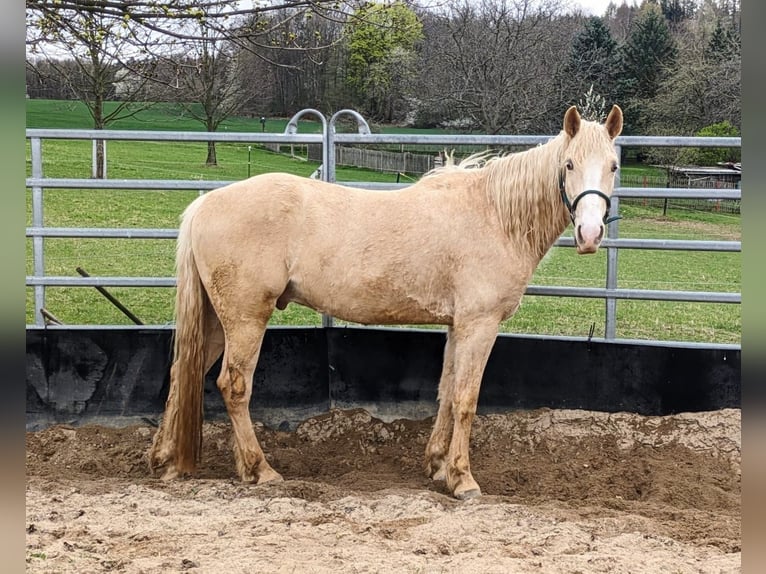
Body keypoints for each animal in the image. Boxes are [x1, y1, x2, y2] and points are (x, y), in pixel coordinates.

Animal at [148, 106, 624, 502]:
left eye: (614, 166)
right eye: (569, 164)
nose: (590, 235)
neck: (493, 215)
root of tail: (205, 204)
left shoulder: (457, 326)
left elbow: (446, 392)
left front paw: (437, 466)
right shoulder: (480, 324)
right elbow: (466, 398)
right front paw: (463, 479)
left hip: (216, 320)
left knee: (181, 371)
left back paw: (166, 461)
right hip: (246, 318)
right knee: (233, 387)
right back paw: (259, 469)